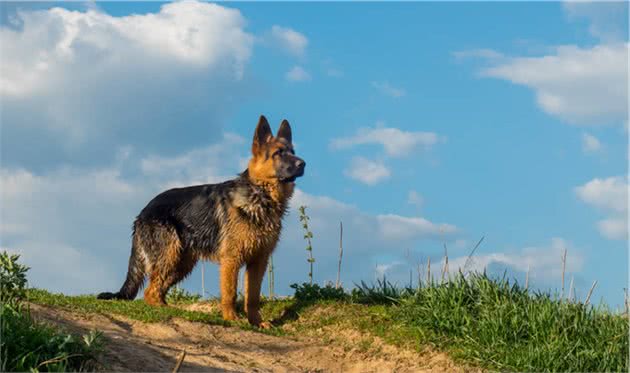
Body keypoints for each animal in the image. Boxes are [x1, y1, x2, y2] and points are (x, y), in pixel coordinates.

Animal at [98, 115, 306, 326]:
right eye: (278, 153)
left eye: (292, 152)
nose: (303, 164)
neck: (260, 193)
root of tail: (142, 213)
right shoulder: (231, 260)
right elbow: (230, 293)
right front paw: (232, 319)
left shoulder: (258, 261)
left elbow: (253, 297)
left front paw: (256, 323)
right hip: (170, 255)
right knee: (150, 292)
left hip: (181, 263)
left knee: (158, 290)